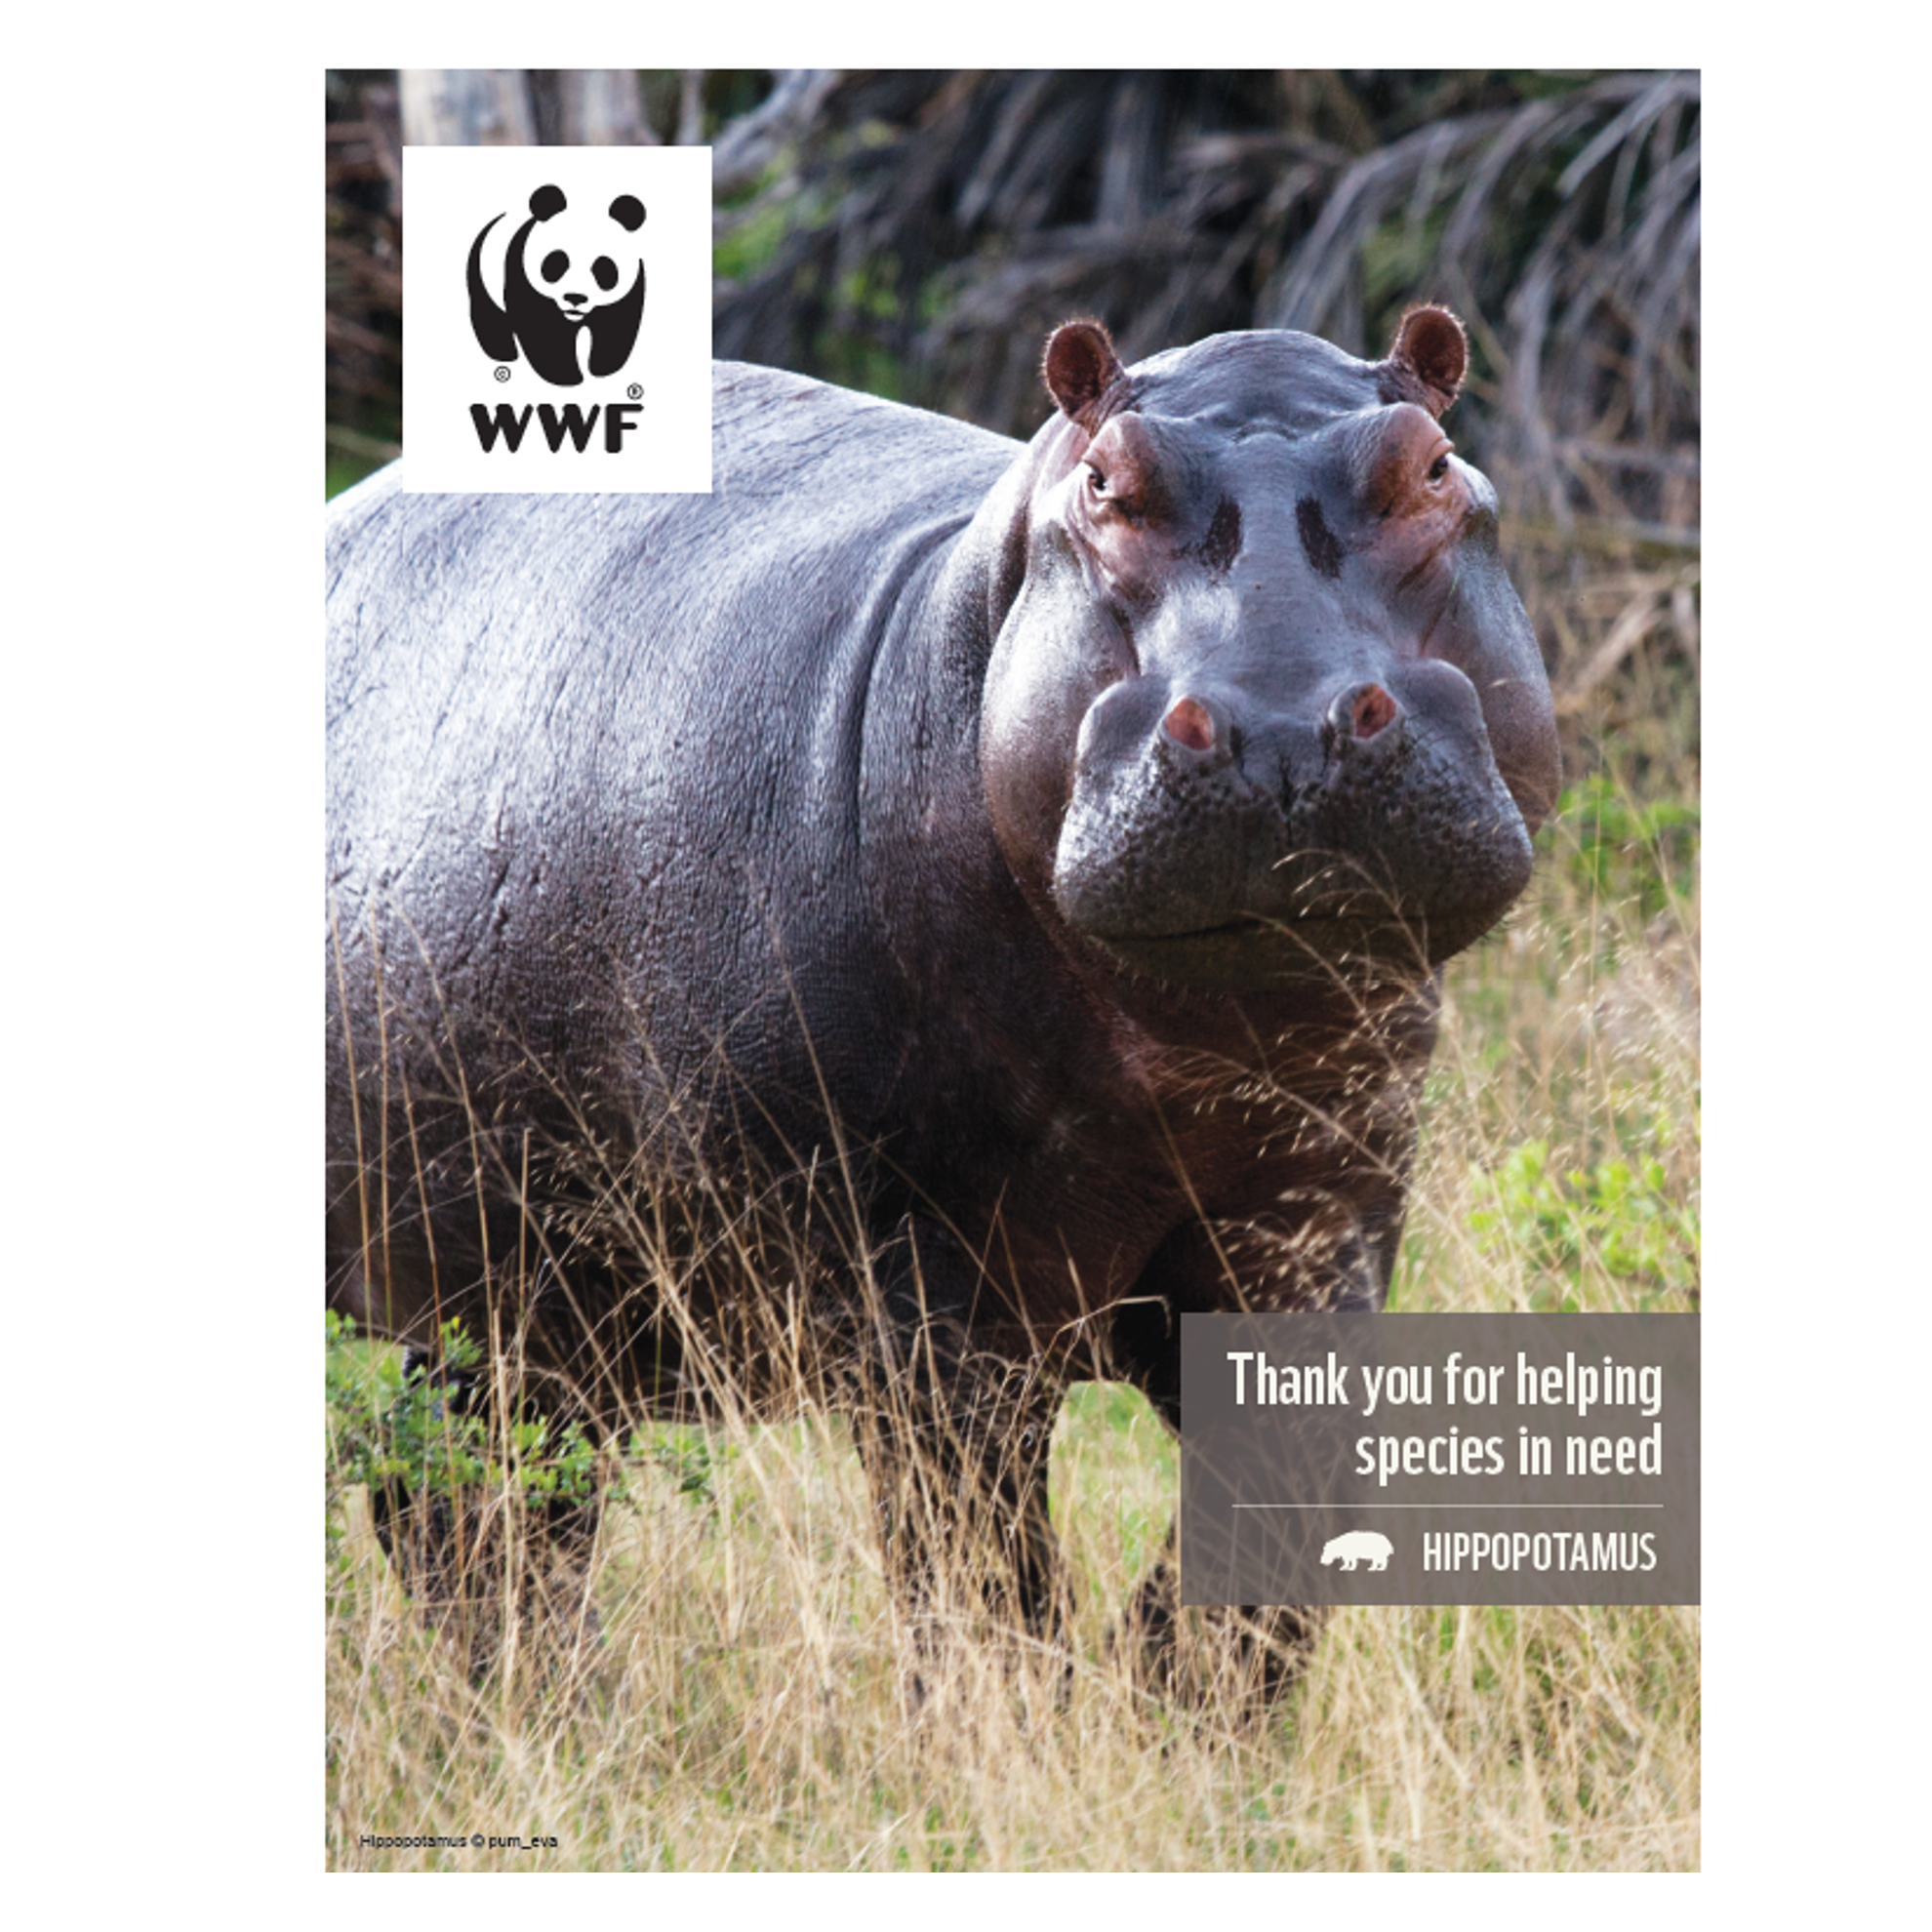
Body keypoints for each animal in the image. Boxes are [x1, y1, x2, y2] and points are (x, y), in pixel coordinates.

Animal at [325, 306, 1557, 1681]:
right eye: (1105, 485)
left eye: (1431, 466)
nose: (1283, 727)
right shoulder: (937, 1299)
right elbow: (982, 1578)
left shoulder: (1316, 1230)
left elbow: (1258, 1565)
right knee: (480, 1512)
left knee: (468, 1511)